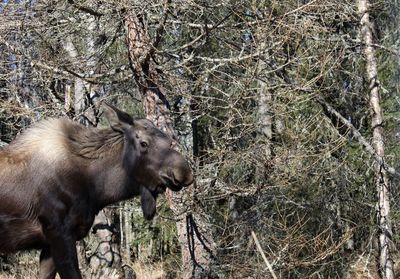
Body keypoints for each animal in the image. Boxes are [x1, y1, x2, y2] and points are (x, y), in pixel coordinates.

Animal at [0, 103, 194, 279]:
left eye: (169, 140)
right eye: (144, 143)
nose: (184, 172)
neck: (95, 190)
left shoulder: (49, 243)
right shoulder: (58, 232)